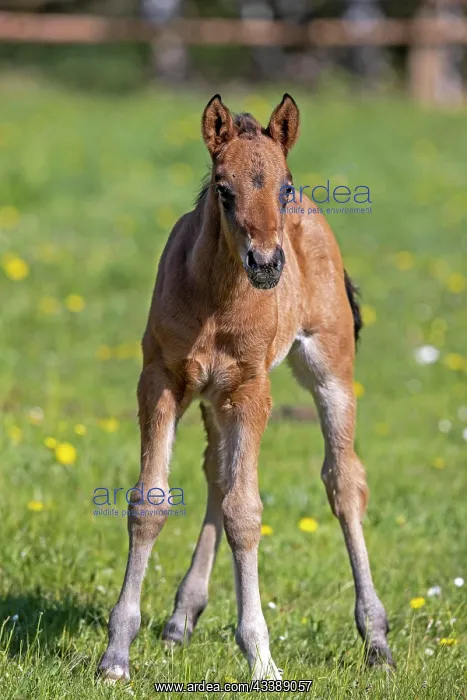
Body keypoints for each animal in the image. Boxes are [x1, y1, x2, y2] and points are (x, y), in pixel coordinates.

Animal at [98, 93, 394, 682]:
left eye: (283, 186)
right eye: (222, 187)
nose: (266, 264)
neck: (217, 299)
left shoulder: (252, 391)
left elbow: (246, 512)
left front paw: (261, 658)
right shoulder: (161, 379)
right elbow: (151, 501)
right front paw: (116, 653)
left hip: (329, 368)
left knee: (344, 481)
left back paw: (376, 639)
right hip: (213, 398)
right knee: (216, 473)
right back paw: (180, 620)